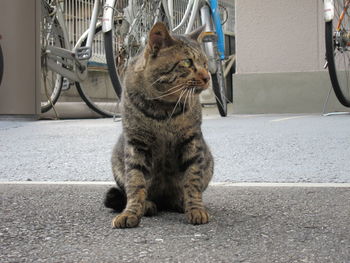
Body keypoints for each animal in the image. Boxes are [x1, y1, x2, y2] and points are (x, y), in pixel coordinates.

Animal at [104, 22, 213, 229]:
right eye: (187, 62)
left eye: (205, 63)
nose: (208, 76)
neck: (163, 111)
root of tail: (164, 201)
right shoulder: (136, 144)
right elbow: (135, 182)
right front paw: (131, 212)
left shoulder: (192, 141)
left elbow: (193, 180)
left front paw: (196, 209)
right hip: (117, 160)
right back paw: (148, 205)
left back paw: (180, 202)